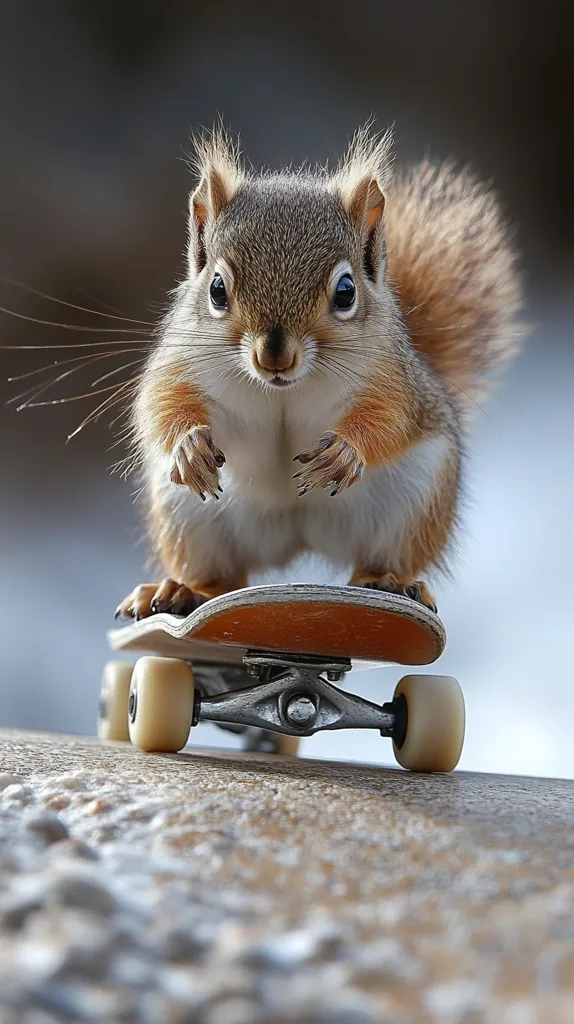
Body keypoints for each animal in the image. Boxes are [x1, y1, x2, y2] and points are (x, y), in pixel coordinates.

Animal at [116, 124, 522, 621]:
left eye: (346, 292)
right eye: (216, 289)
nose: (273, 357)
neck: (282, 387)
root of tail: (296, 541)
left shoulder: (392, 376)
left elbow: (390, 419)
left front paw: (345, 453)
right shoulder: (178, 363)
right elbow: (161, 405)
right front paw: (189, 447)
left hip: (412, 505)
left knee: (381, 557)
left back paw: (387, 580)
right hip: (188, 520)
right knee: (220, 577)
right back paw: (179, 590)